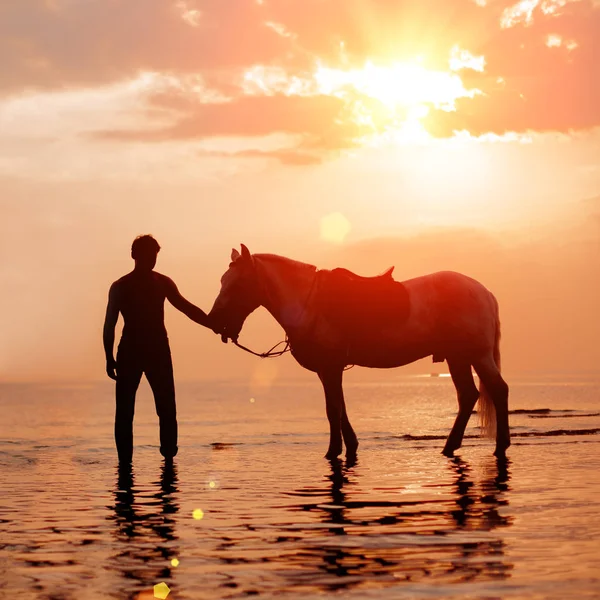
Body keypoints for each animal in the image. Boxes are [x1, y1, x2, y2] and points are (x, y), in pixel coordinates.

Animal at [207, 244, 510, 460]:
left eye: (238, 283)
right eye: (222, 280)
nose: (215, 321)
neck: (309, 302)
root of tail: (485, 292)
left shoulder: (330, 368)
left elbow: (333, 410)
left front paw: (333, 452)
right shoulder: (329, 370)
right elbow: (340, 408)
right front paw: (350, 446)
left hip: (478, 355)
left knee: (498, 390)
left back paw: (501, 445)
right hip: (457, 357)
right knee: (468, 396)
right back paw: (450, 446)